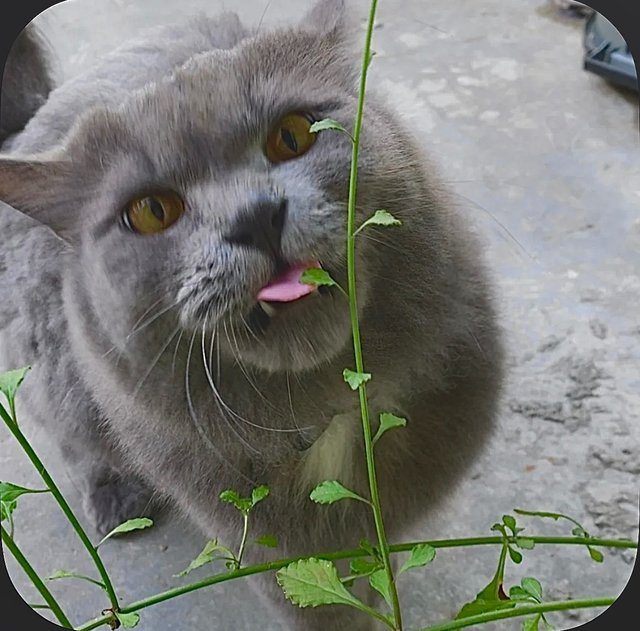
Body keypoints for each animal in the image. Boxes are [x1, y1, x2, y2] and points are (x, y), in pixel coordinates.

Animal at [1, 2, 504, 628]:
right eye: (151, 211)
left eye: (292, 136)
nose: (254, 217)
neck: (328, 415)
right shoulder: (271, 550)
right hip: (53, 375)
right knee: (76, 439)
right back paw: (116, 501)